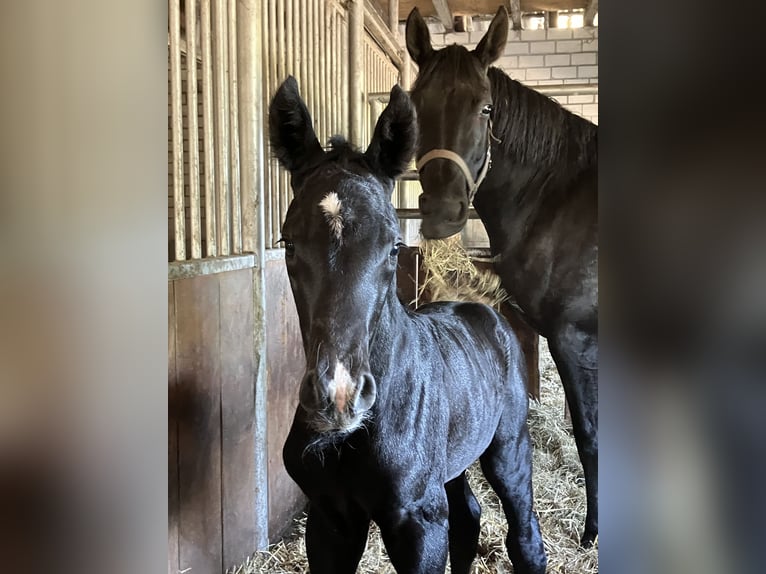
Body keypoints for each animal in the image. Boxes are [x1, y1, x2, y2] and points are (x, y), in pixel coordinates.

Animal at [270, 76, 544, 574]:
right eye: (289, 242)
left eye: (394, 246)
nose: (339, 396)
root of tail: (483, 312)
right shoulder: (328, 520)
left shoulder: (418, 521)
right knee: (468, 514)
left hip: (509, 449)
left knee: (524, 533)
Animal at [408, 7, 600, 548]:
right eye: (416, 105)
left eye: (486, 109)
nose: (443, 211)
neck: (556, 198)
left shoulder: (574, 338)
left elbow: (590, 437)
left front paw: (593, 533)